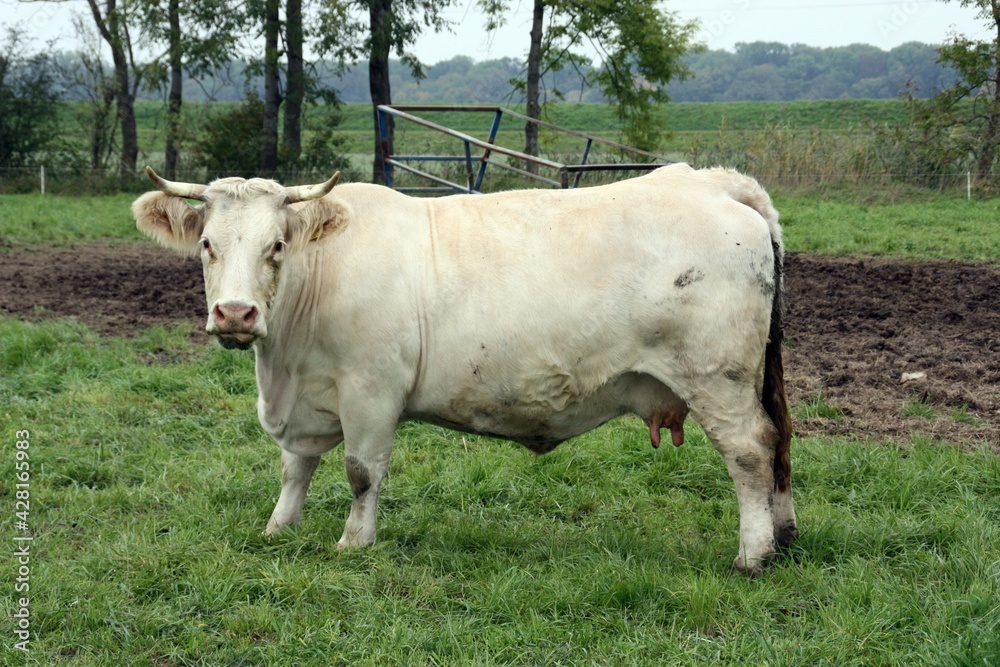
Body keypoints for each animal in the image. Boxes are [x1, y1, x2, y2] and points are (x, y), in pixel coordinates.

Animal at [132, 163, 797, 575]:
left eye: (276, 245)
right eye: (207, 245)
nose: (235, 313)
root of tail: (710, 182)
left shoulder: (370, 389)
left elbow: (360, 472)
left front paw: (354, 542)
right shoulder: (306, 399)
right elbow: (295, 468)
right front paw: (278, 528)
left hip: (717, 377)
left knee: (750, 451)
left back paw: (753, 555)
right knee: (781, 444)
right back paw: (784, 538)